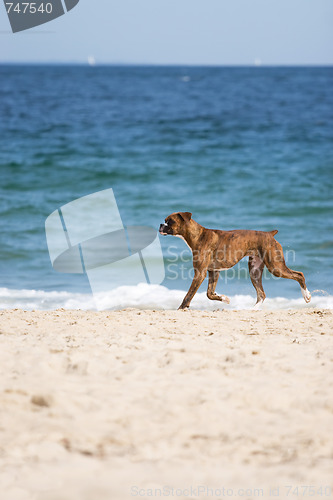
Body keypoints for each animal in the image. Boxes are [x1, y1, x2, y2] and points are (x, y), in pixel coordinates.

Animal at [158, 213, 308, 310]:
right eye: (165, 220)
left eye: (170, 221)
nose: (160, 224)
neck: (198, 235)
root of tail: (269, 234)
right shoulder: (214, 272)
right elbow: (209, 294)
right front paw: (224, 298)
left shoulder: (200, 273)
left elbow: (189, 294)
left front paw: (182, 308)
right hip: (254, 271)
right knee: (261, 294)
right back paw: (252, 310)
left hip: (275, 267)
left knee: (299, 275)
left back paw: (307, 296)